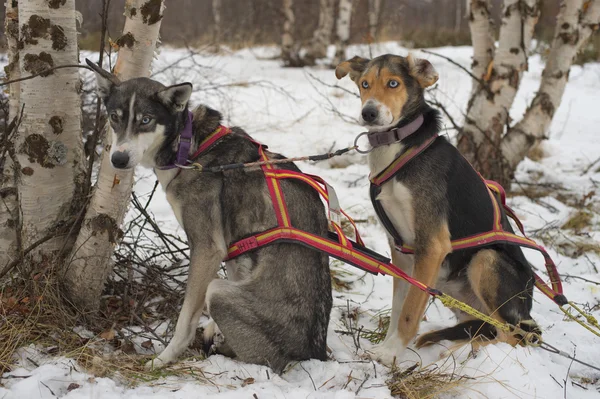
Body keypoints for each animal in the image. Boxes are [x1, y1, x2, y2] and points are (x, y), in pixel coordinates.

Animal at [87, 60, 332, 376]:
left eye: (146, 120)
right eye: (115, 117)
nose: (118, 159)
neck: (190, 149)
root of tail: (313, 352)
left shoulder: (207, 249)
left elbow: (185, 321)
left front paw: (163, 359)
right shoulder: (235, 253)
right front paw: (213, 331)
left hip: (219, 293)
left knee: (269, 360)